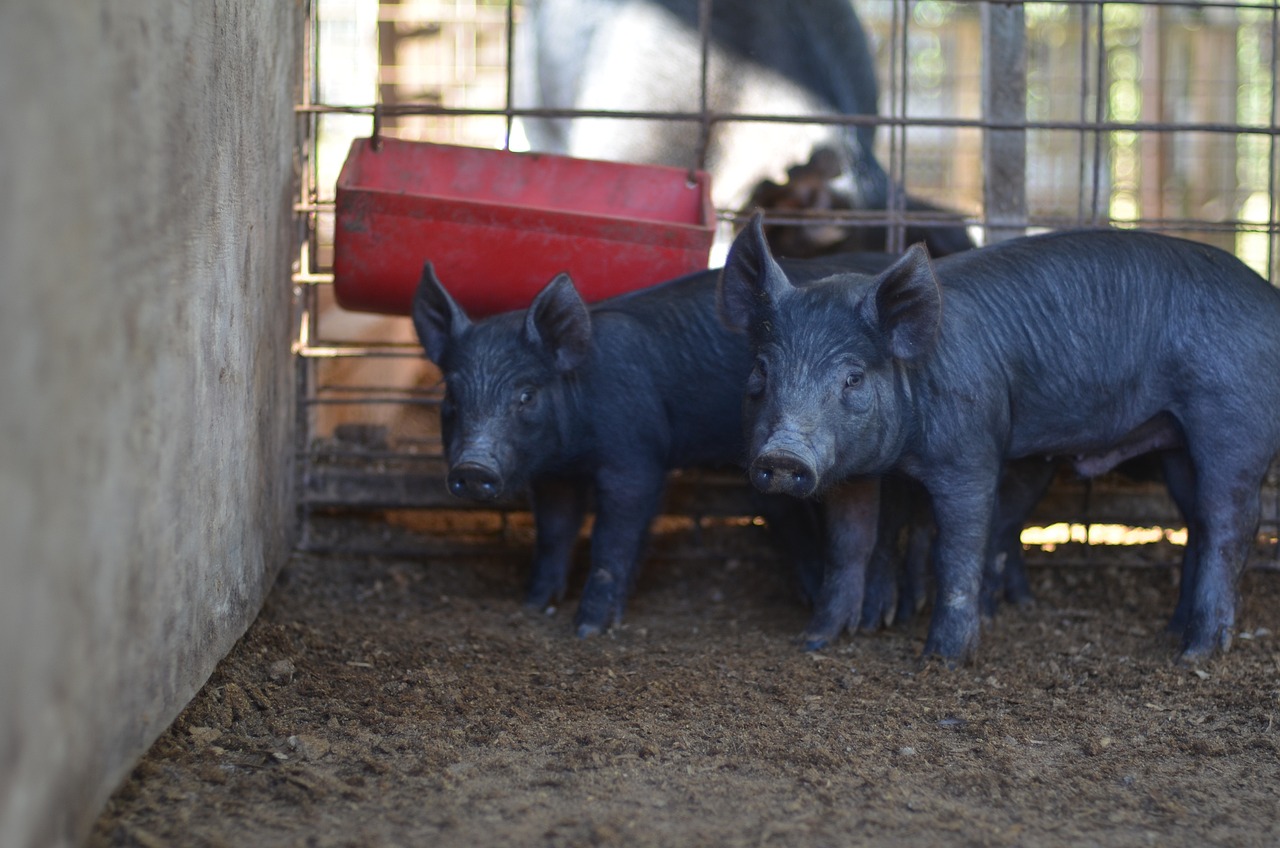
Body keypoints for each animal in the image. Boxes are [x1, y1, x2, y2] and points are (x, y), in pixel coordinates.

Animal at [414, 252, 896, 637]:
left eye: (526, 395)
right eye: (451, 396)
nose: (472, 468)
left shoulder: (636, 454)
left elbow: (613, 536)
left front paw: (588, 629)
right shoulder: (554, 474)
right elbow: (553, 532)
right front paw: (535, 604)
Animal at [721, 216, 1280, 666]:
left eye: (853, 377)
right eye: (761, 370)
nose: (784, 455)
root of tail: (1269, 297)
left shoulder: (970, 451)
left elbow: (956, 548)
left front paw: (941, 661)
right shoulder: (852, 469)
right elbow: (848, 542)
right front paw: (816, 641)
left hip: (1231, 419)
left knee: (1230, 522)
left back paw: (1193, 655)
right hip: (1176, 444)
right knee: (1196, 522)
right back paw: (1173, 633)